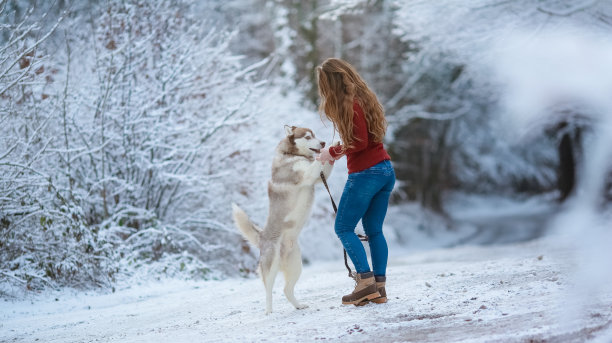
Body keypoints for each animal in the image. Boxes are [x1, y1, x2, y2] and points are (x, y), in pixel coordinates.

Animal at [232, 125, 334, 316]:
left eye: (315, 135)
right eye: (308, 137)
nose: (323, 142)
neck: (291, 154)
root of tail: (262, 237)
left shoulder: (317, 177)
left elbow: (323, 166)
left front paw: (333, 149)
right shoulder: (307, 175)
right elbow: (316, 164)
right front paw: (334, 144)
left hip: (296, 265)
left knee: (286, 290)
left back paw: (298, 305)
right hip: (271, 265)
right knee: (268, 291)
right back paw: (269, 311)